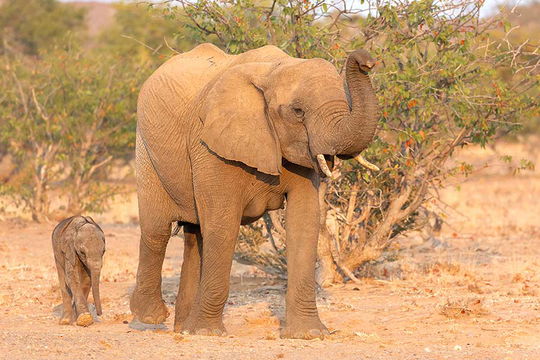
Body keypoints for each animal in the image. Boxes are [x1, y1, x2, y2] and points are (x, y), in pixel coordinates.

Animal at [131, 43, 378, 338]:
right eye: (297, 111)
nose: (366, 61)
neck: (273, 69)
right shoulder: (210, 146)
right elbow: (223, 225)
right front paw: (208, 333)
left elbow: (304, 222)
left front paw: (308, 334)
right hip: (147, 152)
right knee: (157, 231)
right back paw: (151, 318)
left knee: (195, 237)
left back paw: (183, 329)